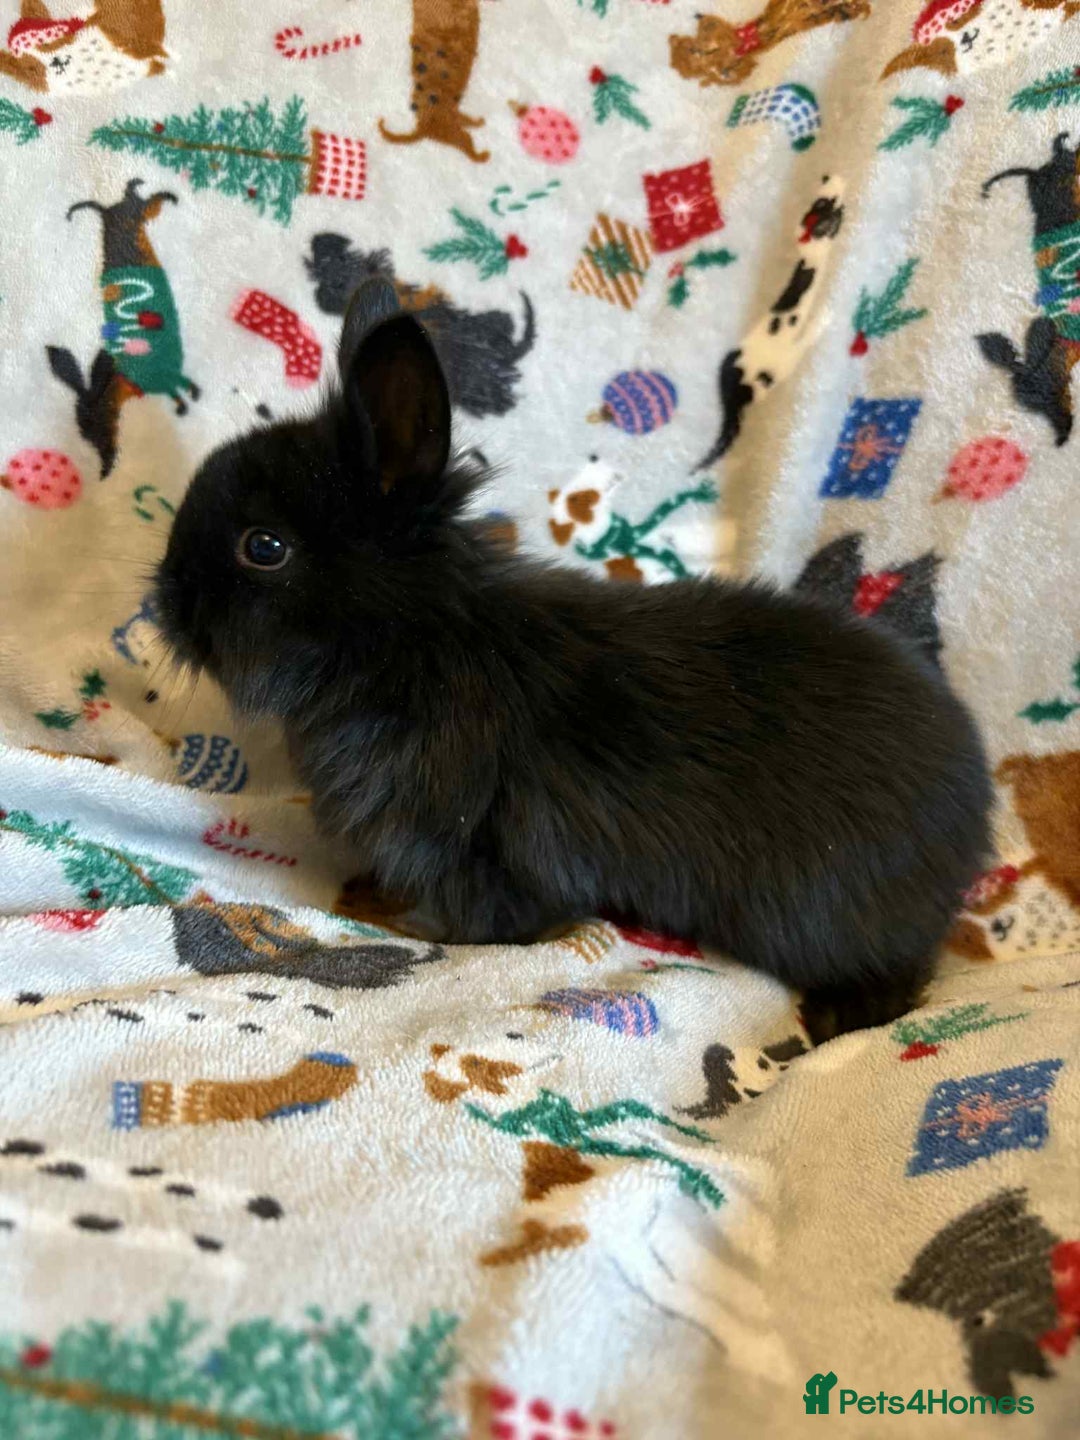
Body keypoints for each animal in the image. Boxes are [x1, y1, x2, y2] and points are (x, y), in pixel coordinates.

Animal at [155, 280, 992, 1043]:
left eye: (264, 547)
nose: (162, 602)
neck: (414, 641)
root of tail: (972, 823)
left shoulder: (481, 847)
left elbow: (489, 920)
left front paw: (398, 922)